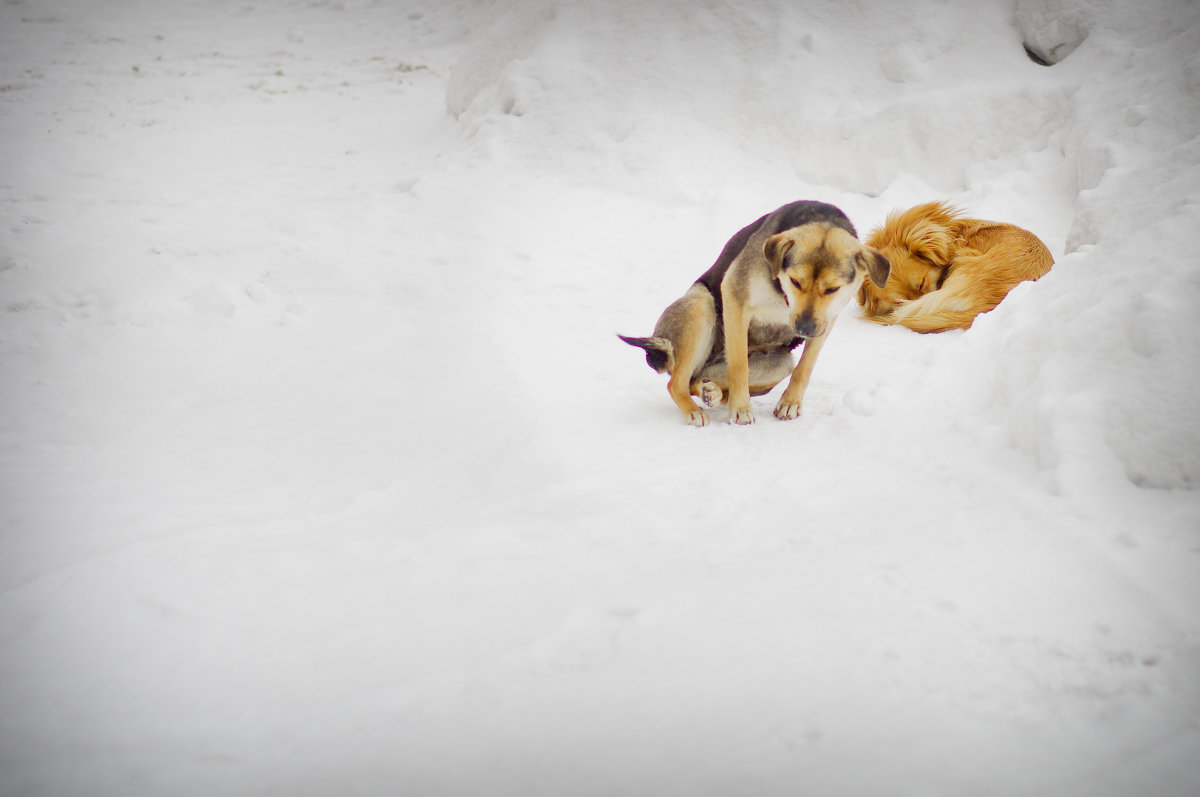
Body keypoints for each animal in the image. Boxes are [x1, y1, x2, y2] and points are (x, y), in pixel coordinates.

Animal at [619, 200, 892, 422]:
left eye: (833, 289)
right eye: (795, 281)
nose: (803, 329)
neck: (782, 296)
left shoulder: (826, 320)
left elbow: (805, 367)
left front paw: (791, 403)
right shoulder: (734, 296)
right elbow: (740, 364)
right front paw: (741, 410)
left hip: (780, 363)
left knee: (697, 380)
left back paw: (712, 391)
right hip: (701, 306)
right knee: (677, 383)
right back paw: (694, 410)